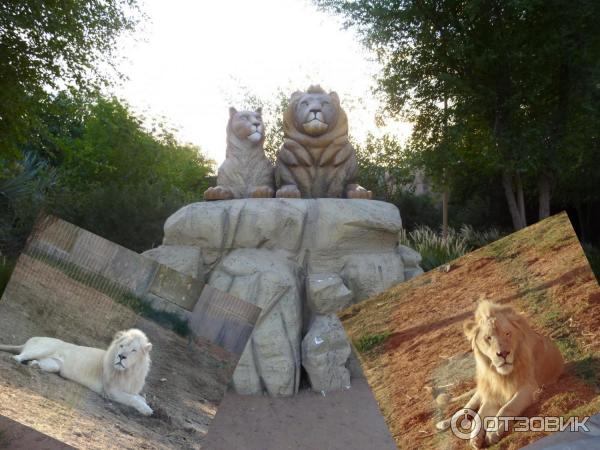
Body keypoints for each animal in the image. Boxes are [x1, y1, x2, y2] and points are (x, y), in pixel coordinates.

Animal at [0, 328, 155, 416]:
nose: (121, 356)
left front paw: (145, 404)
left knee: (35, 362)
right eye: (121, 346)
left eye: (133, 350)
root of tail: (31, 339)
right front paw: (147, 410)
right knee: (20, 356)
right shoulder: (110, 391)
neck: (129, 371)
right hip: (43, 348)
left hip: (54, 365)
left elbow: (139, 397)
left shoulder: (129, 388)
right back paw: (15, 360)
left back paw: (35, 366)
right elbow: (133, 399)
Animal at [436, 300, 564, 448]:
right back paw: (443, 423)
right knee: (464, 410)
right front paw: (475, 437)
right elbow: (479, 416)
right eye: (488, 338)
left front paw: (493, 431)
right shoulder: (492, 394)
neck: (500, 375)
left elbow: (507, 407)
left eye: (507, 333)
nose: (503, 354)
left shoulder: (529, 387)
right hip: (480, 393)